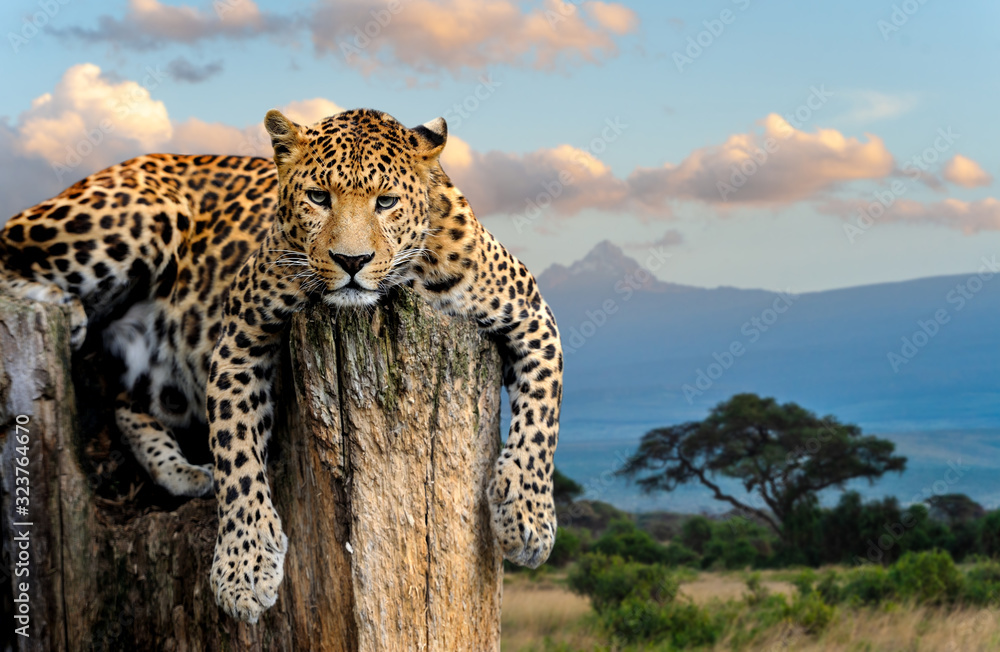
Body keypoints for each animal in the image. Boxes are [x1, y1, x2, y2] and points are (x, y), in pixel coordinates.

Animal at [0, 107, 564, 620]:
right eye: (318, 197)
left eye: (385, 202)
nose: (352, 262)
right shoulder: (240, 335)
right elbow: (236, 452)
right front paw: (244, 569)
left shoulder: (533, 316)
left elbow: (542, 418)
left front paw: (527, 519)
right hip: (136, 216)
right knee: (10, 247)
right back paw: (68, 309)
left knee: (125, 403)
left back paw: (184, 472)